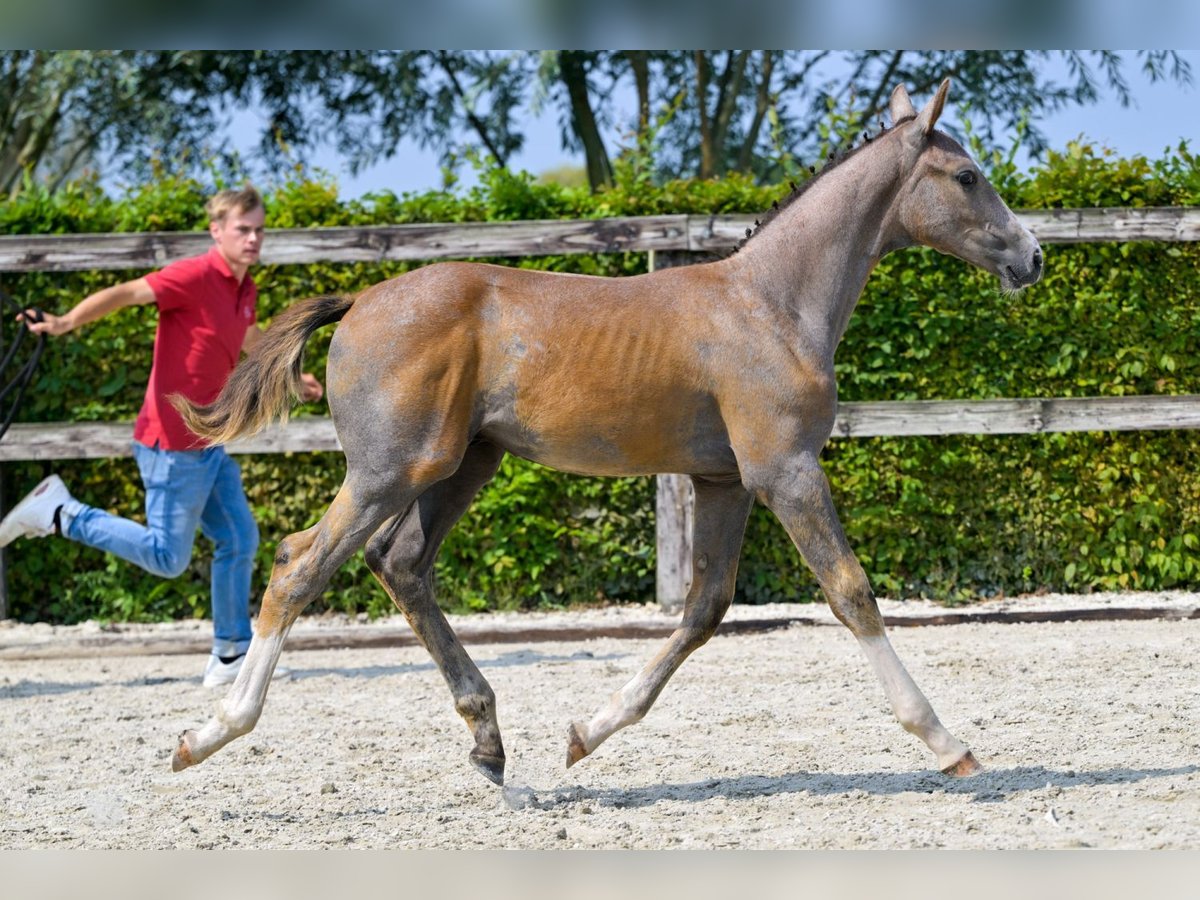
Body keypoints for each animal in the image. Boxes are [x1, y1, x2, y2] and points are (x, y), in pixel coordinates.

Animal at [169, 81, 1041, 787]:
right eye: (967, 176)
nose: (1032, 256)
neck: (771, 302)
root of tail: (358, 302)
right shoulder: (786, 469)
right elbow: (851, 591)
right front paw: (947, 742)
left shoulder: (724, 481)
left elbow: (703, 609)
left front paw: (586, 732)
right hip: (391, 470)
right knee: (298, 566)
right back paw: (209, 733)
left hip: (462, 464)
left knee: (401, 564)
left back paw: (488, 739)